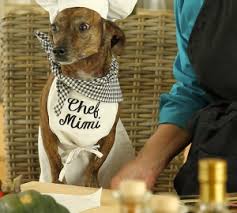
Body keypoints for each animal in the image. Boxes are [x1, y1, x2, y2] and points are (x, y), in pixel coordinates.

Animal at [38, 6, 134, 187]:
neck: (84, 79)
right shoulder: (47, 130)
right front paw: (58, 185)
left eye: (83, 26)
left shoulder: (108, 136)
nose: (56, 50)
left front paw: (91, 184)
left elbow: (95, 164)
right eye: (54, 27)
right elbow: (55, 162)